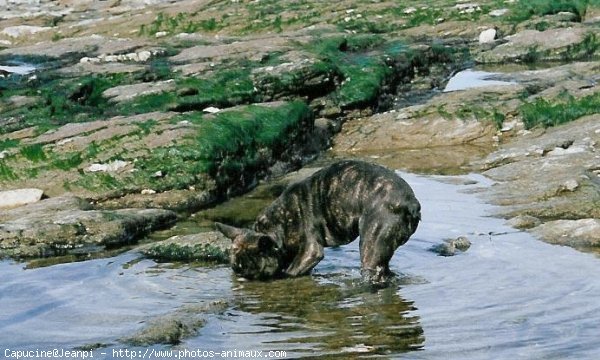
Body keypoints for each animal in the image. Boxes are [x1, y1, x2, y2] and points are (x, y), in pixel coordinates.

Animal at [217, 159, 422, 286]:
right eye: (234, 269)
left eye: (252, 273)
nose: (239, 279)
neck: (278, 225)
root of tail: (410, 203)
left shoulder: (310, 251)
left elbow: (289, 272)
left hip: (370, 246)